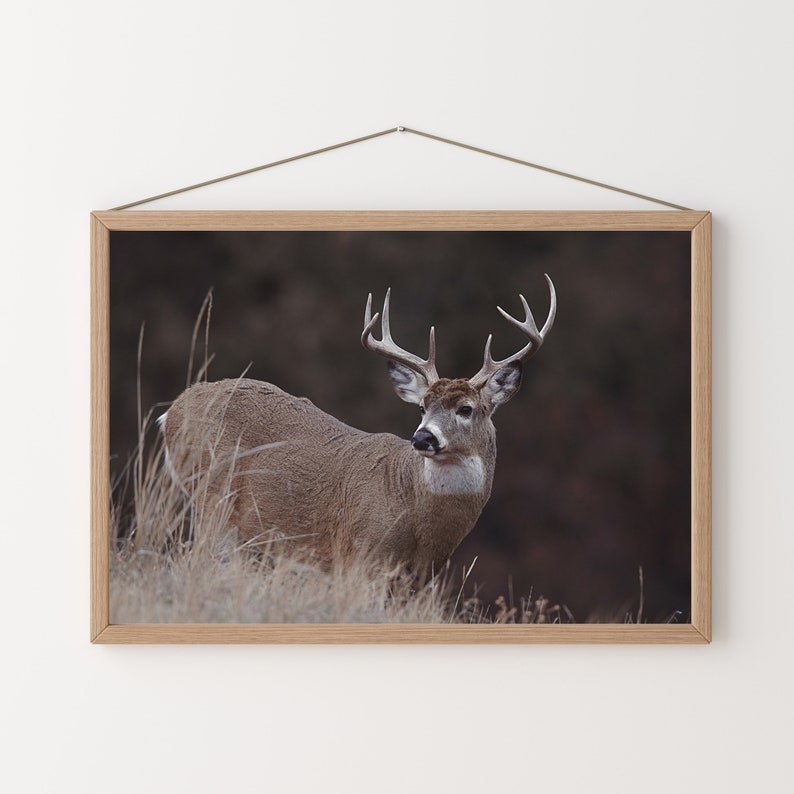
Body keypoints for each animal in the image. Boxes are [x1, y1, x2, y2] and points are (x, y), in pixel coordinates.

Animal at [160, 276, 556, 583]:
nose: (422, 437)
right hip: (212, 496)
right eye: (422, 407)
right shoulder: (360, 555)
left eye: (466, 409)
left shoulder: (417, 580)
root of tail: (173, 411)